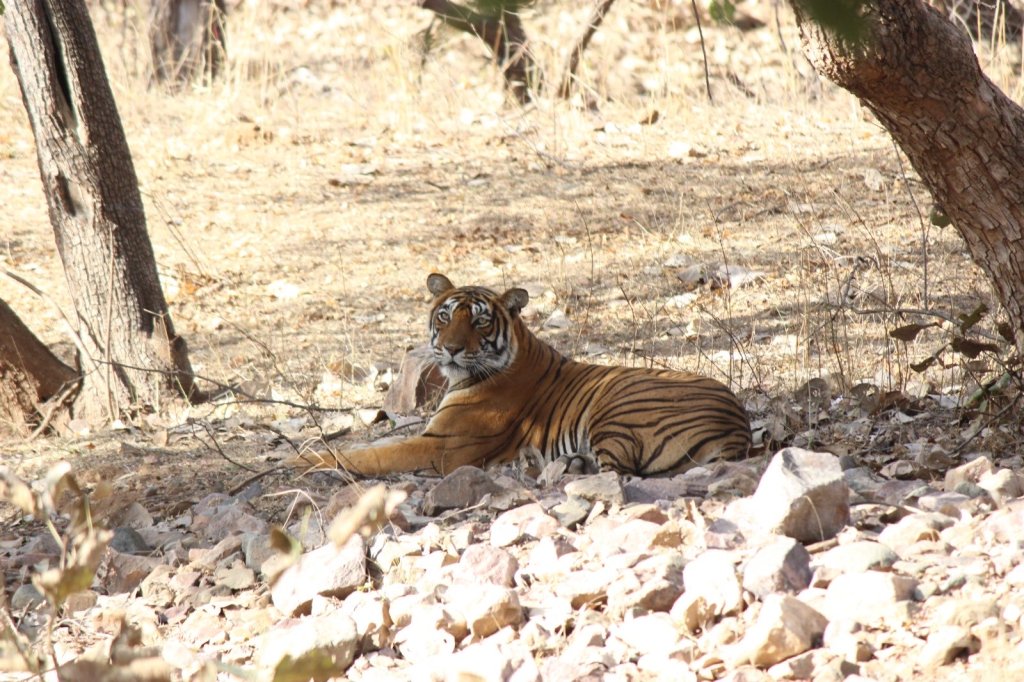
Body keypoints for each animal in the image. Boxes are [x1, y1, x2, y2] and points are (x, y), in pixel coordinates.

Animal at [302, 273, 751, 478]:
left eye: (480, 322)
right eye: (445, 317)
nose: (450, 348)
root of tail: (738, 423)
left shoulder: (441, 446)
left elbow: (367, 454)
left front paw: (301, 458)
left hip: (618, 411)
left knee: (617, 471)